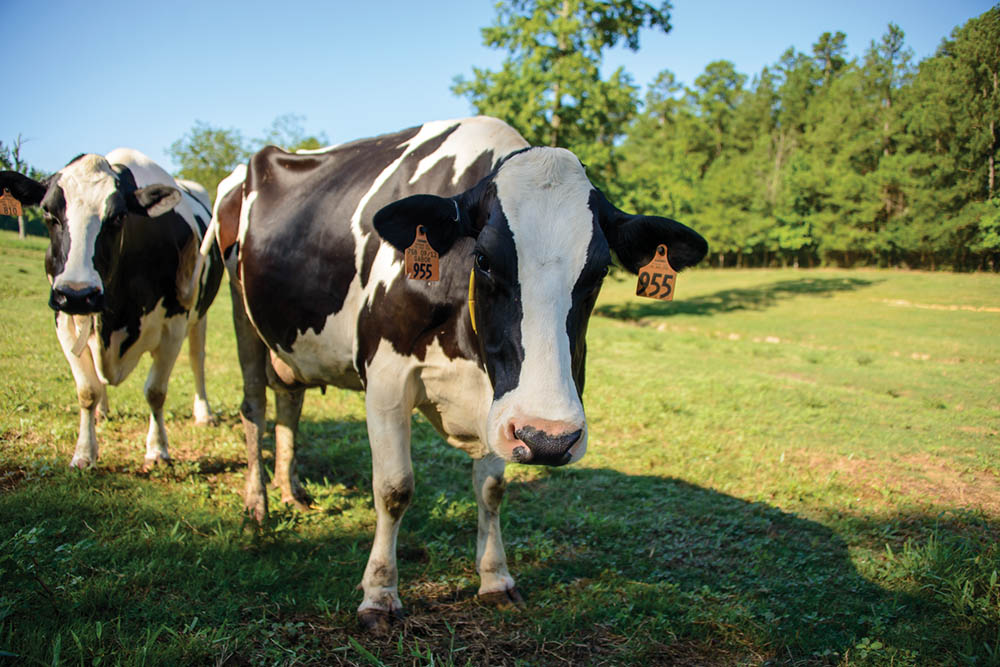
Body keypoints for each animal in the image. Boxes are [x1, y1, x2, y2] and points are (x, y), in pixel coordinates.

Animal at [0, 151, 223, 472]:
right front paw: (84, 453)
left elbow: (155, 391)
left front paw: (158, 450)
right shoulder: (63, 320)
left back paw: (203, 412)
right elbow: (87, 390)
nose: (78, 294)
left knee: (197, 360)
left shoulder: (174, 325)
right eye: (47, 214)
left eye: (118, 217)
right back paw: (101, 411)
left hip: (199, 316)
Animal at [215, 117, 708, 636]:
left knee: (289, 398)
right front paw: (379, 593)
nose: (550, 439)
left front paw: (495, 578)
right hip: (240, 311)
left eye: (597, 272)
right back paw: (257, 506)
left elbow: (491, 488)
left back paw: (291, 494)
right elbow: (394, 488)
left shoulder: (498, 402)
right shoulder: (386, 376)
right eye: (484, 260)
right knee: (254, 407)